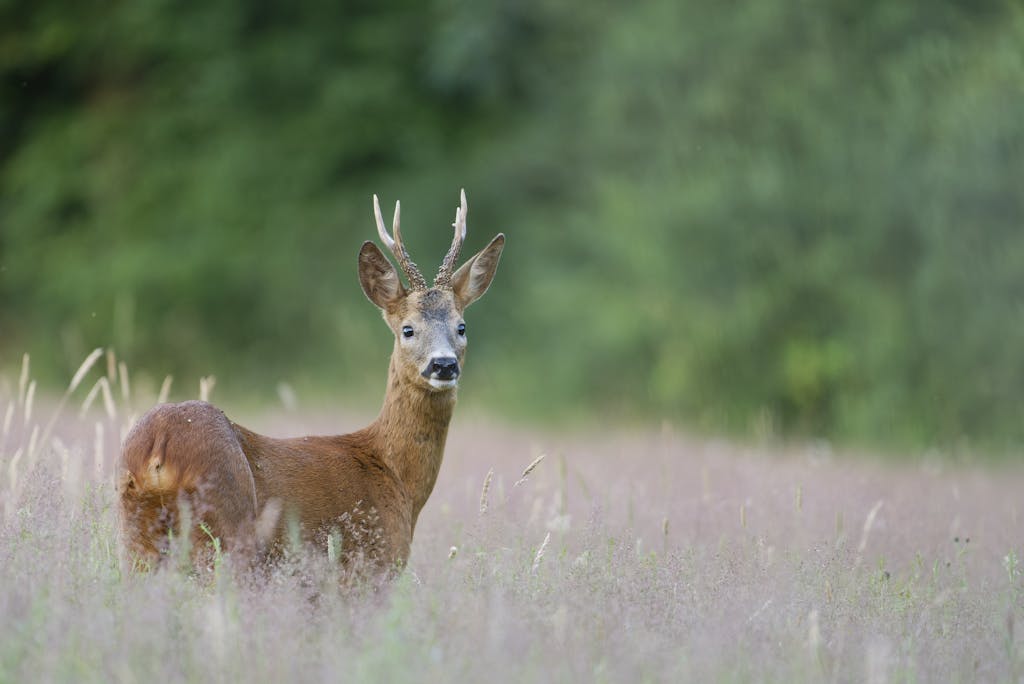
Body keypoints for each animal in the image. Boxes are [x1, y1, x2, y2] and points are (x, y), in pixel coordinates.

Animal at [117, 189, 504, 573]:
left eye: (461, 327)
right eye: (408, 329)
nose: (444, 365)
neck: (396, 477)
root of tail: (157, 449)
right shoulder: (370, 565)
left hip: (138, 537)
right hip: (227, 528)